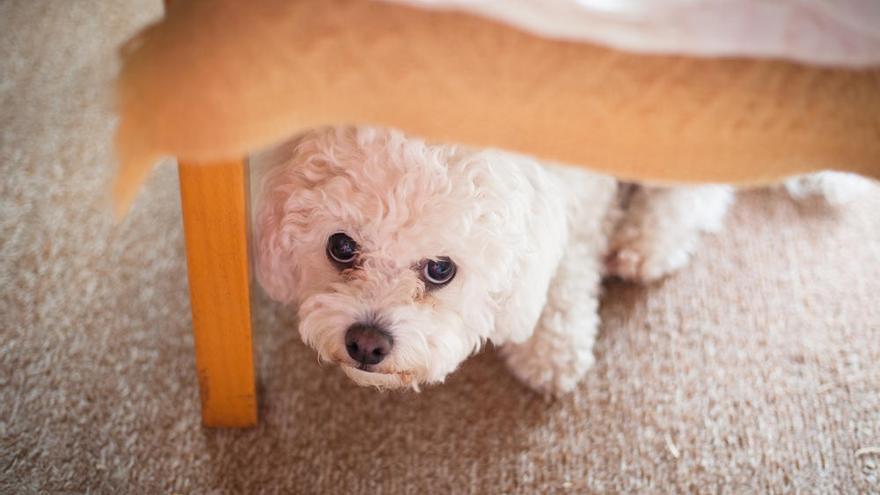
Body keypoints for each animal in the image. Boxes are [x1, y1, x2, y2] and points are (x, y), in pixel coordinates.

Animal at [253, 127, 868, 396]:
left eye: (440, 269)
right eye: (340, 247)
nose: (366, 343)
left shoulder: (576, 199)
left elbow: (564, 274)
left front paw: (549, 351)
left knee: (700, 188)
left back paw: (649, 240)